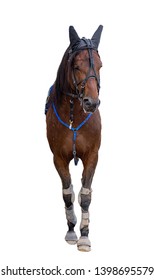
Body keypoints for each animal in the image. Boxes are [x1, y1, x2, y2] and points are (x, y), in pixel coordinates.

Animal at [45, 24, 103, 252]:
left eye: (100, 65)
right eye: (76, 66)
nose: (91, 103)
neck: (74, 114)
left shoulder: (92, 155)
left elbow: (85, 195)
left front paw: (84, 236)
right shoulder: (58, 158)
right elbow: (67, 193)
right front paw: (71, 231)